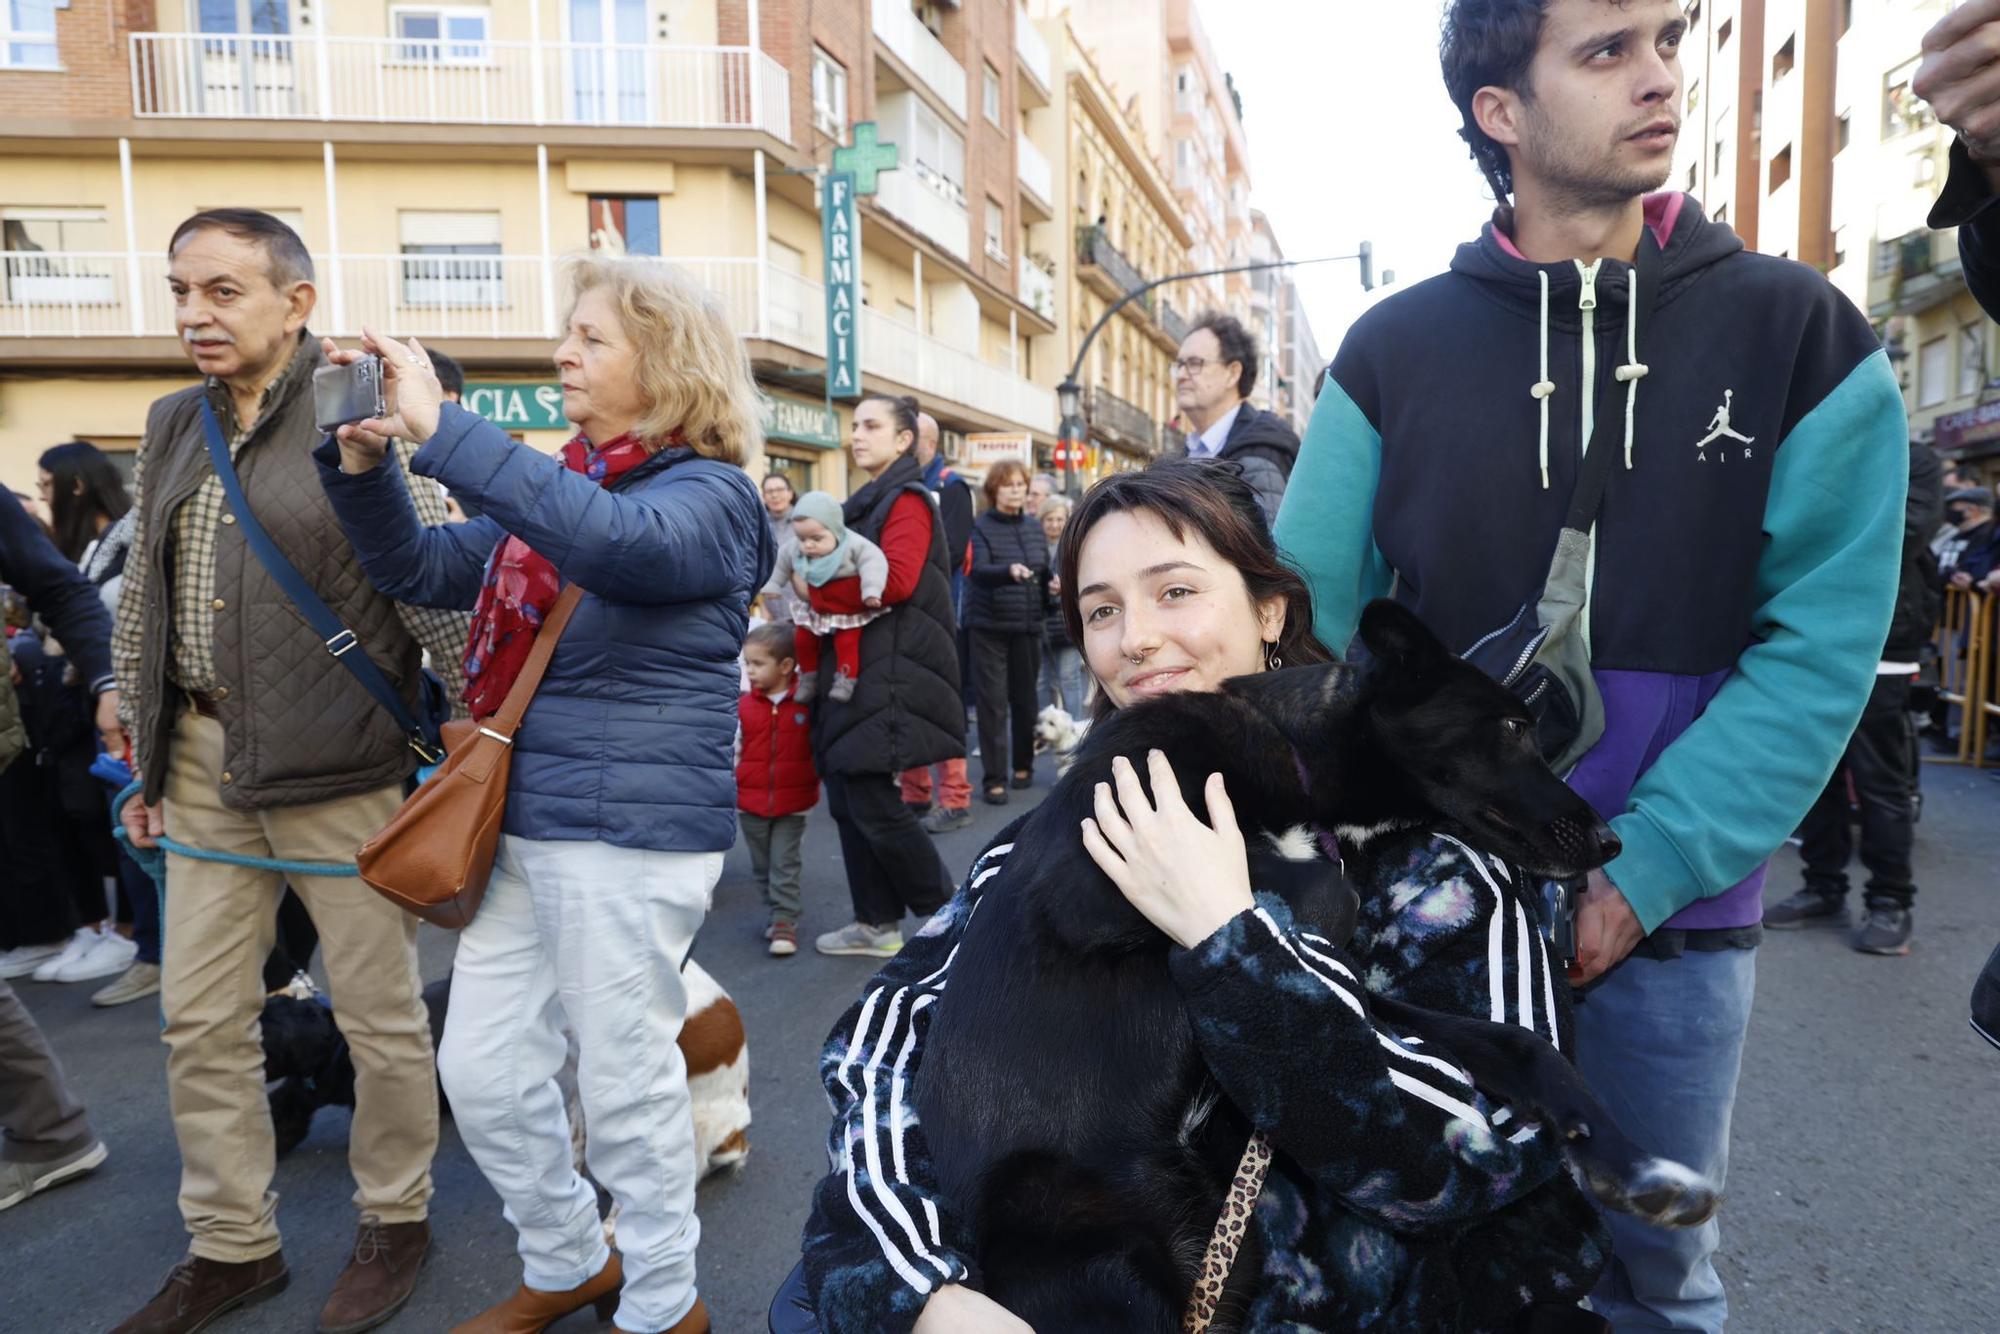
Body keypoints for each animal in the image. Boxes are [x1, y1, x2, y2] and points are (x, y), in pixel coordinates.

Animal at [916, 600, 1720, 1328]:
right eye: (1513, 729)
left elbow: (1516, 1044)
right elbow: (1312, 881)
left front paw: (1629, 1160)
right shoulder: (1092, 881)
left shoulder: (1348, 987)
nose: (1612, 844)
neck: (1295, 758)